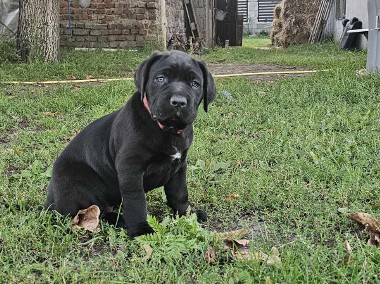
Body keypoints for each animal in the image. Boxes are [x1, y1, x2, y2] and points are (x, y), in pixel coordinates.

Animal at [43, 51, 217, 237]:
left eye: (195, 84)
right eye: (160, 79)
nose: (178, 102)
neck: (167, 129)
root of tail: (50, 202)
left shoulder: (179, 166)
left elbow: (179, 193)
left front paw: (188, 214)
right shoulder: (131, 168)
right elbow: (136, 201)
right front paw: (141, 229)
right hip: (79, 184)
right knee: (94, 211)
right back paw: (121, 220)